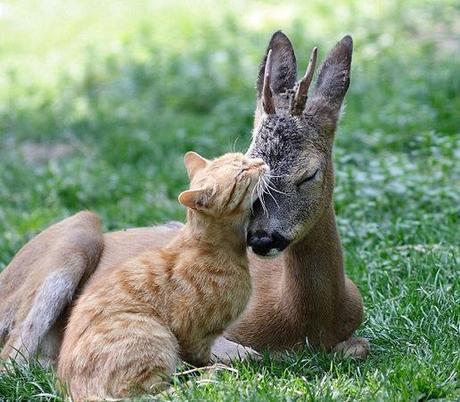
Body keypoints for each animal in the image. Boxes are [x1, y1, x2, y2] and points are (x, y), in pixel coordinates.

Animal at [0, 30, 368, 364]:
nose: (262, 238)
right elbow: (241, 353)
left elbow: (359, 347)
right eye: (251, 164)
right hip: (74, 236)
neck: (302, 319)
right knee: (15, 358)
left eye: (309, 175)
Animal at [58, 152, 268, 402]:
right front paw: (216, 367)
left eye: (243, 157)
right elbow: (200, 357)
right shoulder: (193, 335)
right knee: (151, 393)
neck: (210, 247)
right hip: (155, 335)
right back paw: (209, 377)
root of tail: (78, 391)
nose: (262, 162)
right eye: (242, 172)